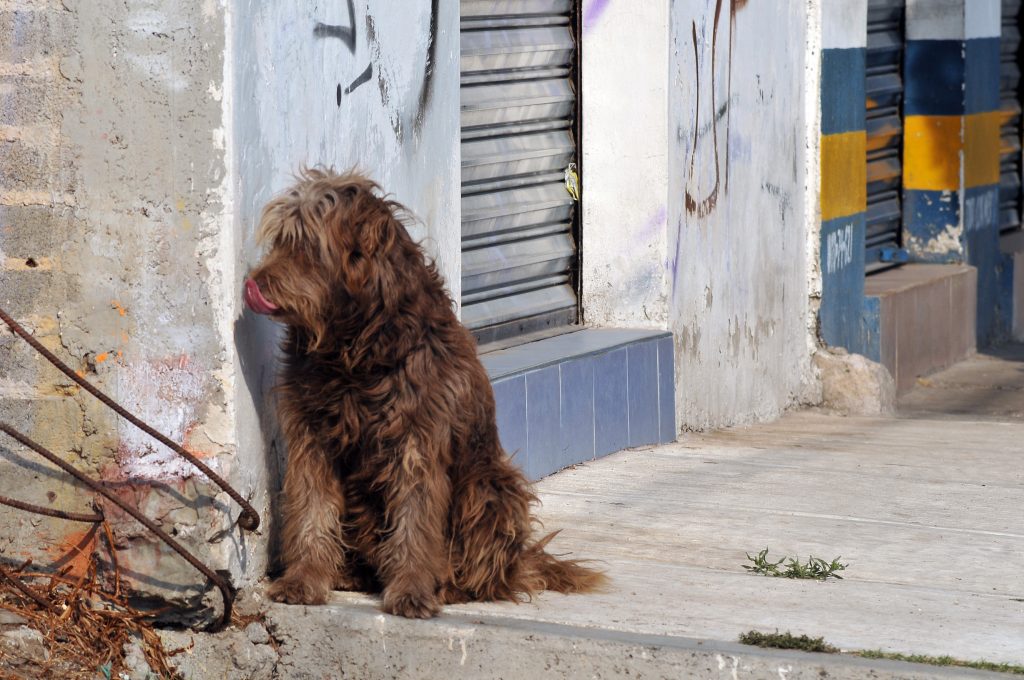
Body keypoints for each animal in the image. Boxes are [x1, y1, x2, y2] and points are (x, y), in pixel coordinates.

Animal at [244, 168, 602, 614]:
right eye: (280, 240)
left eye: (307, 245)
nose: (253, 283)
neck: (354, 348)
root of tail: (522, 560)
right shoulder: (313, 434)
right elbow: (312, 508)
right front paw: (304, 578)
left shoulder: (416, 438)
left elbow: (414, 519)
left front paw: (412, 588)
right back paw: (351, 573)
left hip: (490, 486)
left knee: (488, 574)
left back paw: (449, 585)